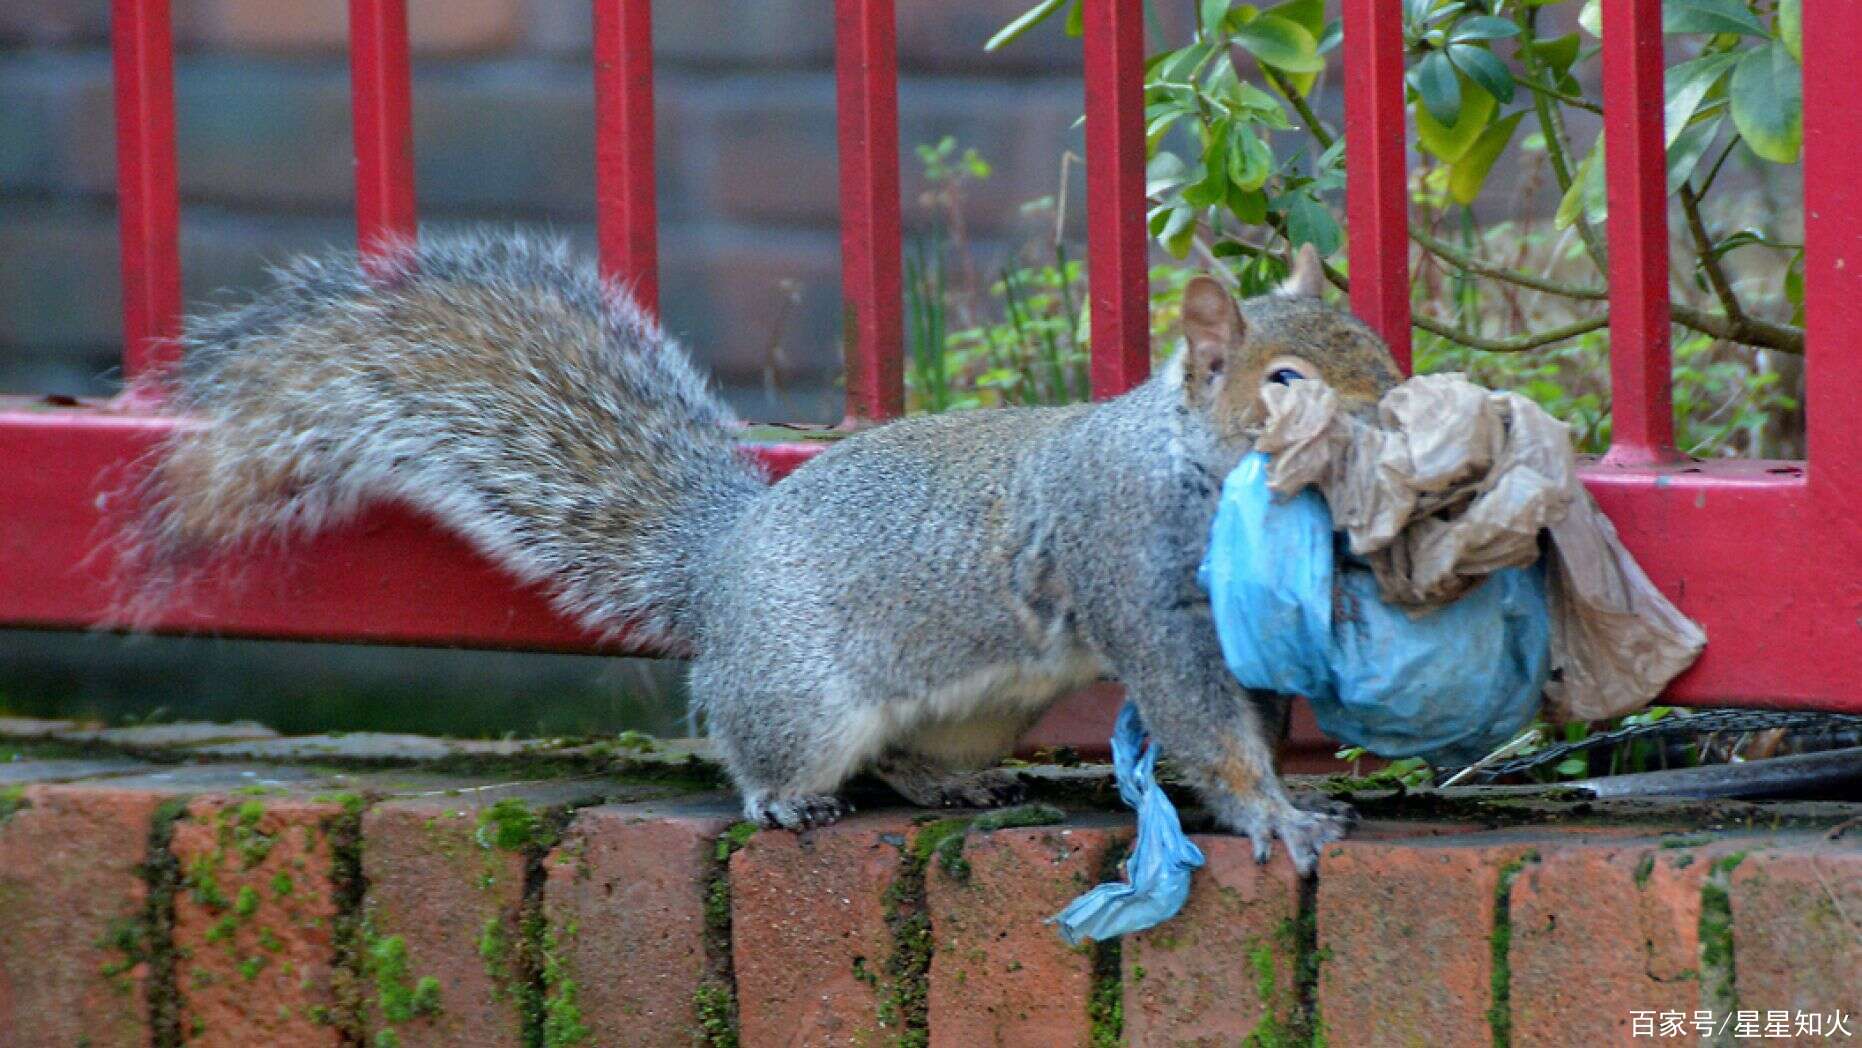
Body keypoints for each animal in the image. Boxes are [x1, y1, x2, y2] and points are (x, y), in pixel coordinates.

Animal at [131, 233, 1400, 874]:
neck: (1186, 464)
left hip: (976, 704)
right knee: (766, 752)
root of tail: (721, 566)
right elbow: (1203, 723)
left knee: (910, 753)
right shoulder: (1133, 576)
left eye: (1374, 342)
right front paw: (1274, 817)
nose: (1396, 408)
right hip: (800, 692)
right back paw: (790, 801)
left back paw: (947, 779)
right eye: (1281, 380)